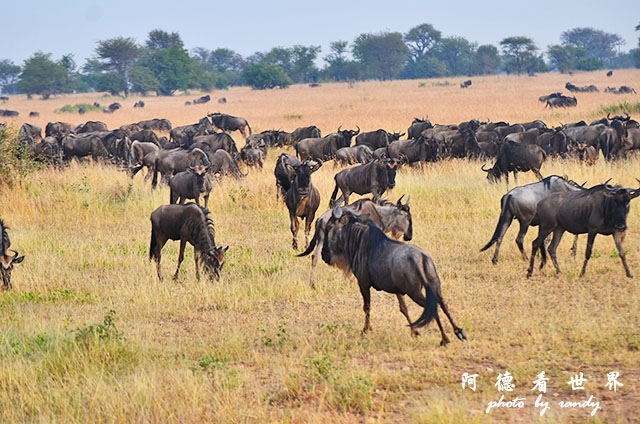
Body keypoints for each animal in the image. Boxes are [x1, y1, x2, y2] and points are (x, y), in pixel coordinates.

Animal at [320, 207, 464, 346]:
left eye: (329, 227)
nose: (324, 255)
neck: (358, 240)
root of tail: (420, 258)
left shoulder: (363, 284)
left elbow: (366, 307)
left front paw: (365, 330)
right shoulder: (397, 290)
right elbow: (403, 308)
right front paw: (414, 332)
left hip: (415, 292)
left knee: (433, 307)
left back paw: (445, 339)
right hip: (434, 285)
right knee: (443, 304)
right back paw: (458, 332)